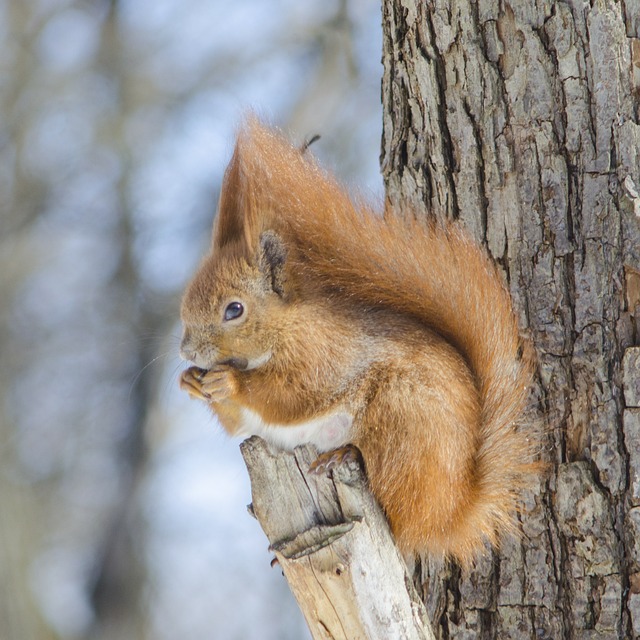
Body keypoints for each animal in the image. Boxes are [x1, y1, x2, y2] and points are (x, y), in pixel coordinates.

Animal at [178, 119, 536, 564]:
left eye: (234, 310)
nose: (187, 351)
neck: (282, 330)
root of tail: (449, 513)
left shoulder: (325, 351)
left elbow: (295, 394)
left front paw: (229, 383)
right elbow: (240, 422)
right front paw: (190, 382)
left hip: (403, 419)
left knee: (394, 503)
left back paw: (345, 455)